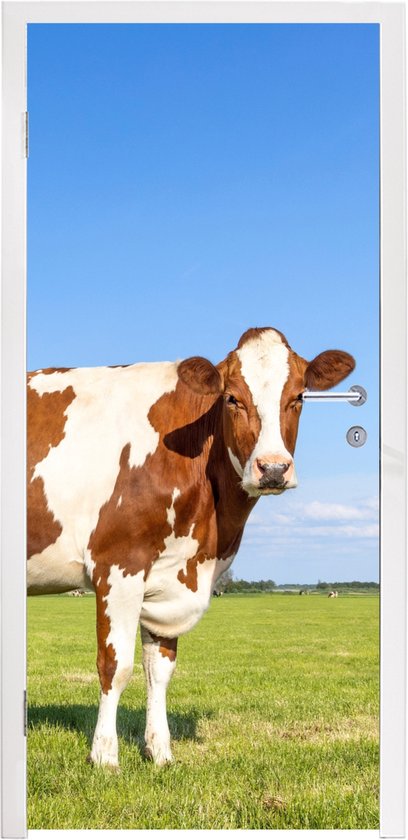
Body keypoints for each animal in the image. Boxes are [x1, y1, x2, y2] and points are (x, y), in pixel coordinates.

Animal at [27, 326, 354, 768]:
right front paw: (105, 756)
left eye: (299, 396)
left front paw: (159, 751)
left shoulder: (169, 576)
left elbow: (158, 669)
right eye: (232, 398)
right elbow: (116, 665)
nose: (272, 468)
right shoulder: (117, 565)